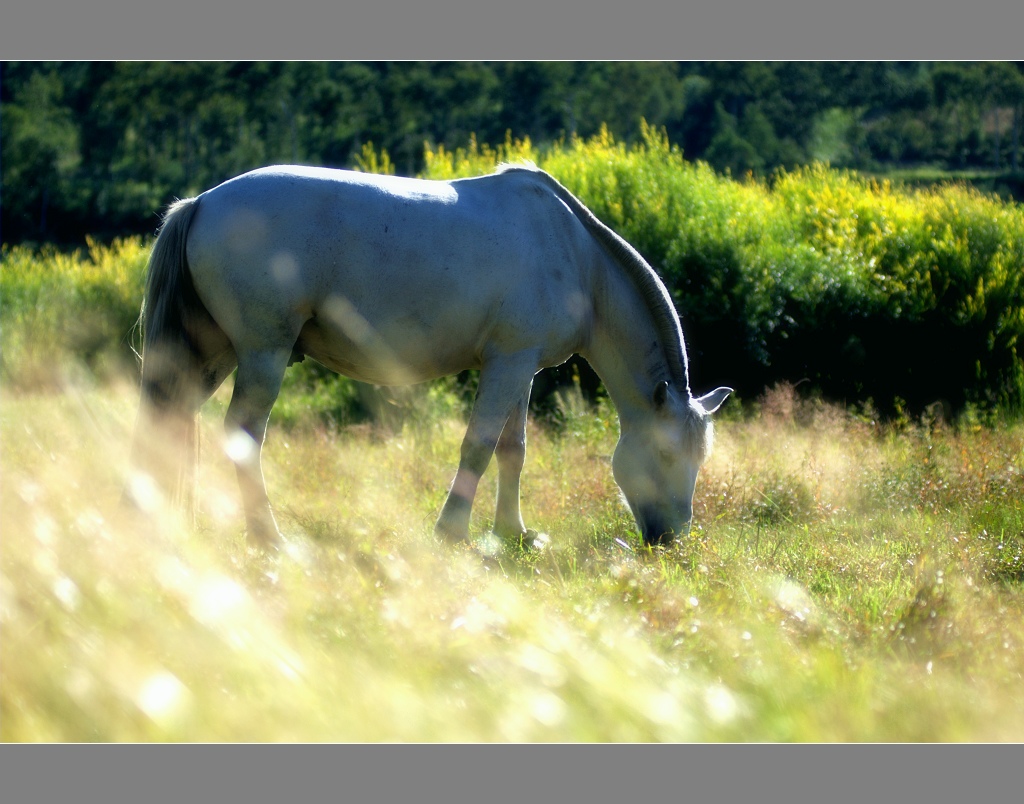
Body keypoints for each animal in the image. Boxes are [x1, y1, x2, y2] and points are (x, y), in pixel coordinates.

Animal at [130, 162, 729, 553]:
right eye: (668, 453)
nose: (670, 539)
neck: (578, 259)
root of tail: (202, 202)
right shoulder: (508, 364)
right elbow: (478, 446)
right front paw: (452, 531)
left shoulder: (520, 367)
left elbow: (513, 450)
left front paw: (513, 534)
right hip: (262, 354)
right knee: (242, 436)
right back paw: (267, 536)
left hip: (213, 354)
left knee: (173, 421)